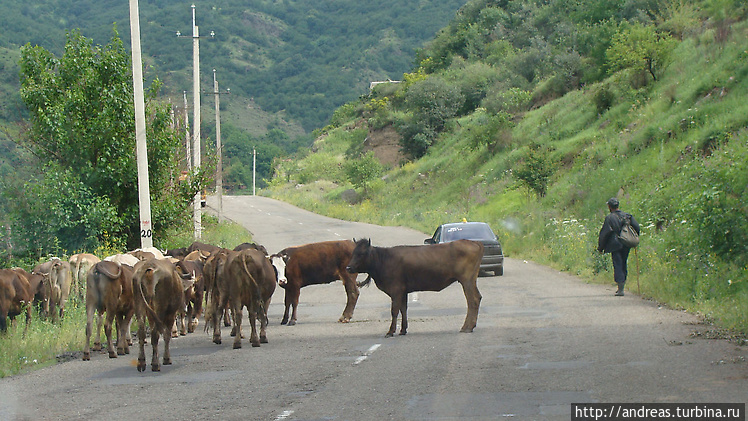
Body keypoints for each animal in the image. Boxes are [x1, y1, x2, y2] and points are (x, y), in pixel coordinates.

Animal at [346, 238, 486, 336]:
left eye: (362, 253)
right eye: (353, 253)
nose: (348, 267)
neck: (383, 261)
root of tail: (473, 242)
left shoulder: (396, 290)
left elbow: (394, 311)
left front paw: (391, 331)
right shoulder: (403, 291)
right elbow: (403, 309)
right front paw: (403, 330)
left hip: (466, 280)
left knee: (472, 300)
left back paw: (467, 327)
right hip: (471, 280)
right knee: (477, 298)